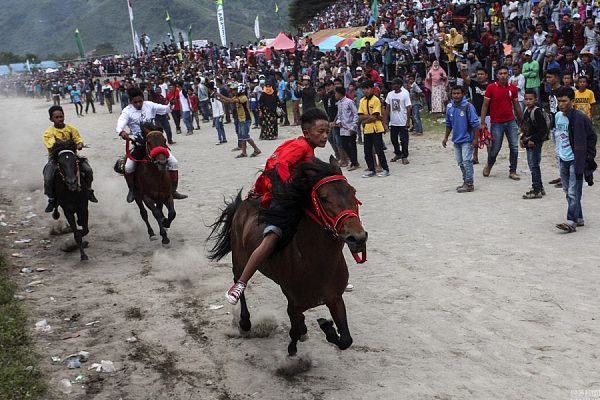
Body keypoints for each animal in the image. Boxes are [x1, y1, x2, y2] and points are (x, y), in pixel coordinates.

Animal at [209, 158, 368, 354]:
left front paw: (325, 327)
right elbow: (295, 330)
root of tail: (242, 204)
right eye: (324, 198)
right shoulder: (294, 304)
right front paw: (297, 345)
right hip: (240, 259)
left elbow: (345, 339)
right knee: (239, 278)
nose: (357, 238)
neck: (316, 264)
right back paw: (244, 320)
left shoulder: (335, 299)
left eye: (353, 192)